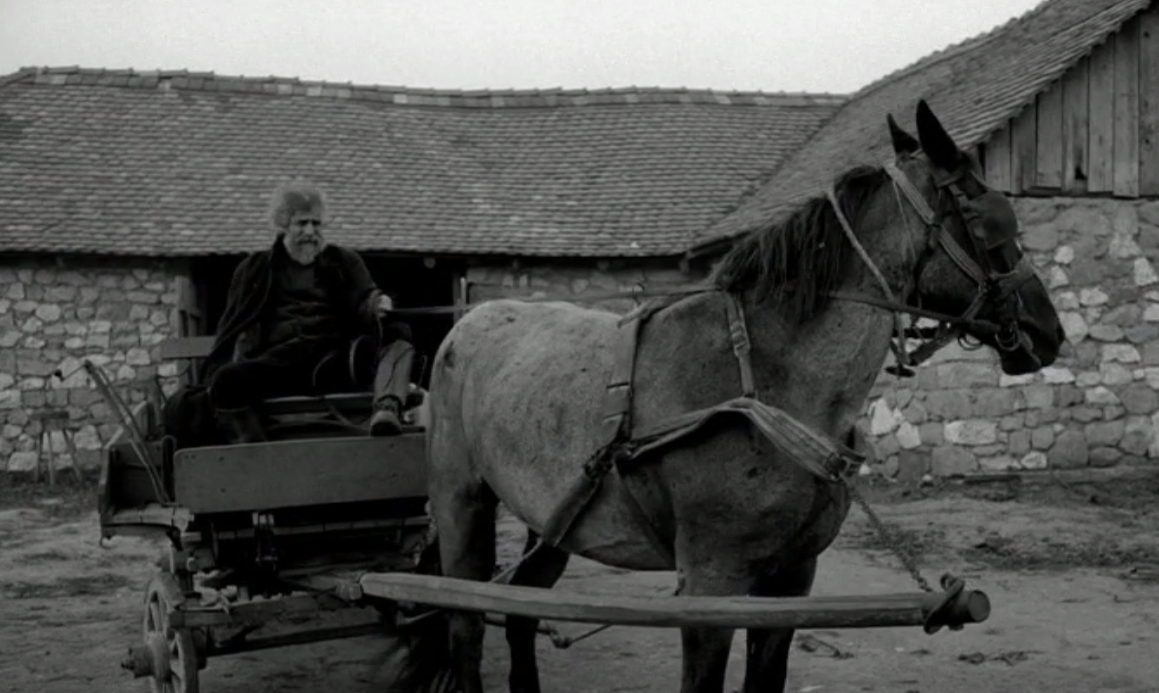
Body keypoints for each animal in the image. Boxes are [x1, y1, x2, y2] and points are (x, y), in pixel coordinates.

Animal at [421, 101, 1061, 693]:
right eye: (993, 221)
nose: (1048, 331)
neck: (768, 384)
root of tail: (465, 323)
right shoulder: (712, 584)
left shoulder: (791, 579)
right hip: (461, 504)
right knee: (464, 622)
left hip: (551, 521)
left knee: (521, 613)